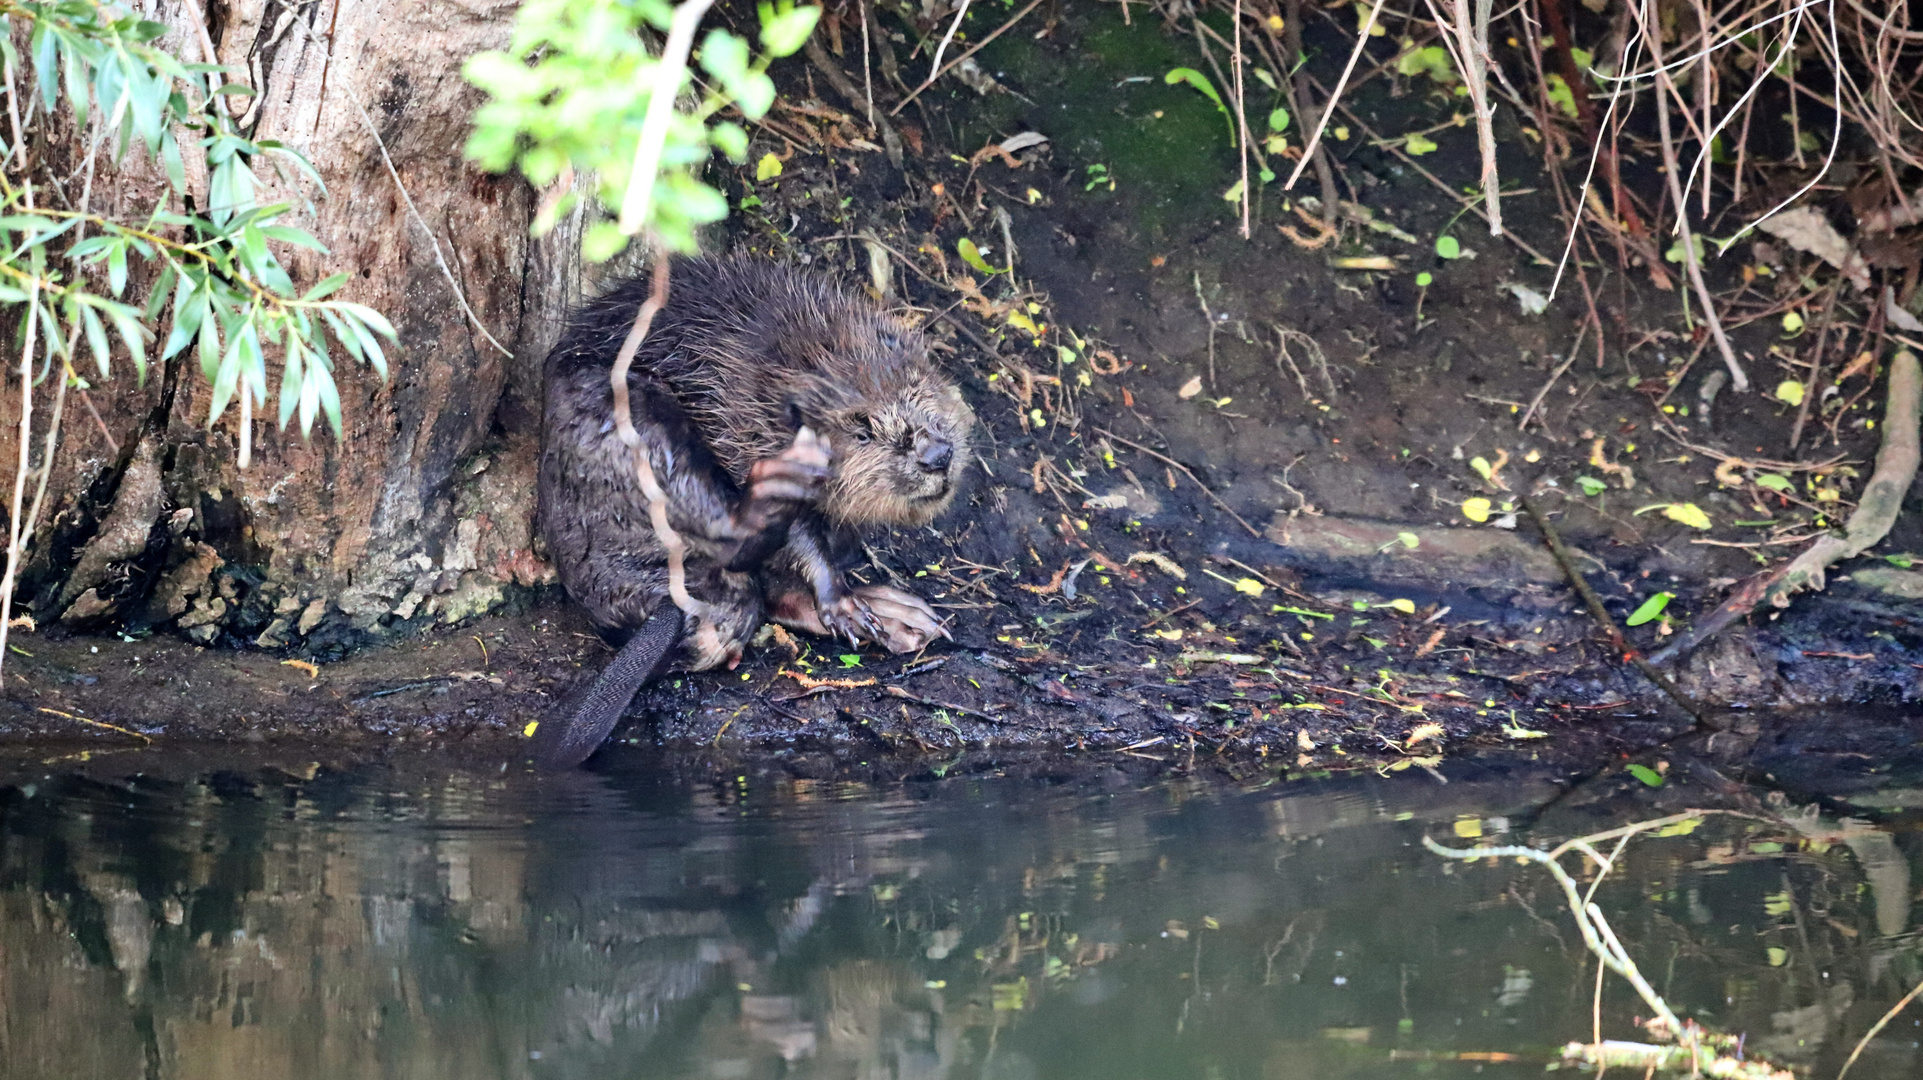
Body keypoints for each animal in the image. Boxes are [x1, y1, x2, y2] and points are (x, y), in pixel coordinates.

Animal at [530, 255, 969, 760]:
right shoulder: (740, 421)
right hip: (630, 423)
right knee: (729, 539)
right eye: (862, 430)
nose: (937, 455)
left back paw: (905, 621)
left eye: (914, 389)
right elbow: (800, 531)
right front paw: (846, 608)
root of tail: (669, 608)